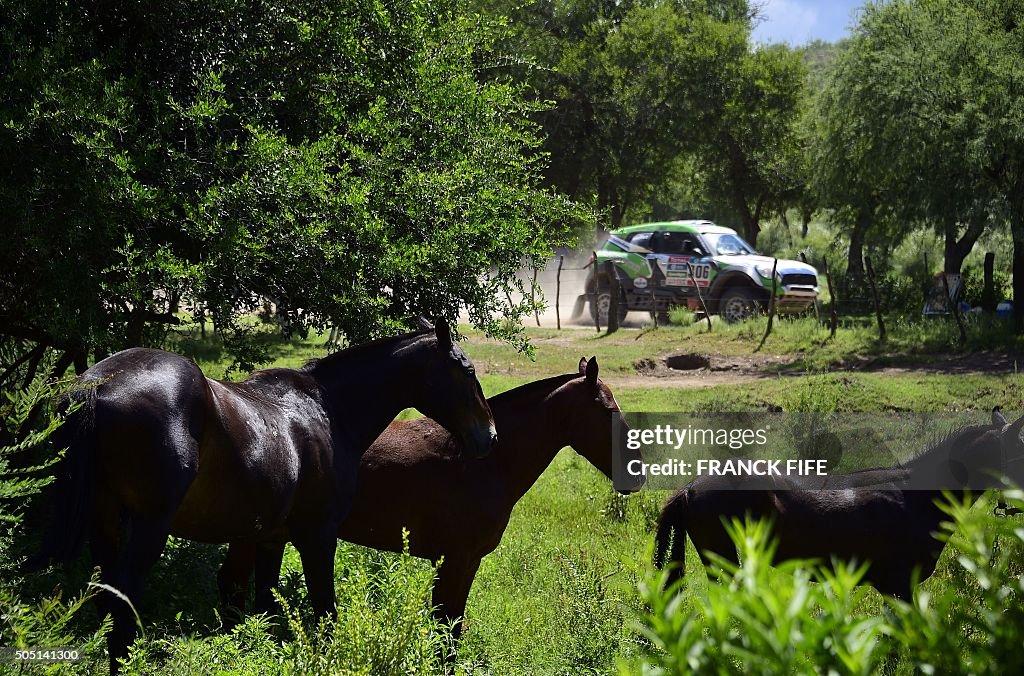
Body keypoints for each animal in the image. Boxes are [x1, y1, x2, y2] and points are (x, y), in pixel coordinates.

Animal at [41, 317, 497, 671]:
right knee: (123, 610)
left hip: (105, 526)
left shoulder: (268, 539)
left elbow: (260, 608)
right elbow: (325, 610)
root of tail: (96, 385)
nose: (489, 437)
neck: (326, 410)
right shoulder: (317, 536)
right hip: (148, 528)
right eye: (467, 370)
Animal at [220, 356, 643, 635]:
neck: (482, 461)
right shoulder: (454, 559)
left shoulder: (467, 562)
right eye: (607, 411)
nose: (635, 474)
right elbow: (445, 631)